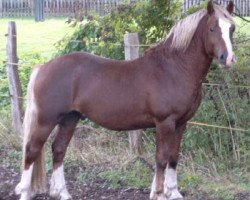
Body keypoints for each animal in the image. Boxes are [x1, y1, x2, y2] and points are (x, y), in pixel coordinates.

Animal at [15, 0, 234, 199]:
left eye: (231, 28)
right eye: (213, 28)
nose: (228, 59)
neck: (174, 69)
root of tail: (43, 67)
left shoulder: (181, 123)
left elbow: (173, 157)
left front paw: (173, 192)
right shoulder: (165, 123)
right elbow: (161, 159)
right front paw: (158, 194)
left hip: (70, 118)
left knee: (58, 150)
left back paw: (62, 193)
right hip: (46, 120)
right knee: (31, 151)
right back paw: (26, 192)